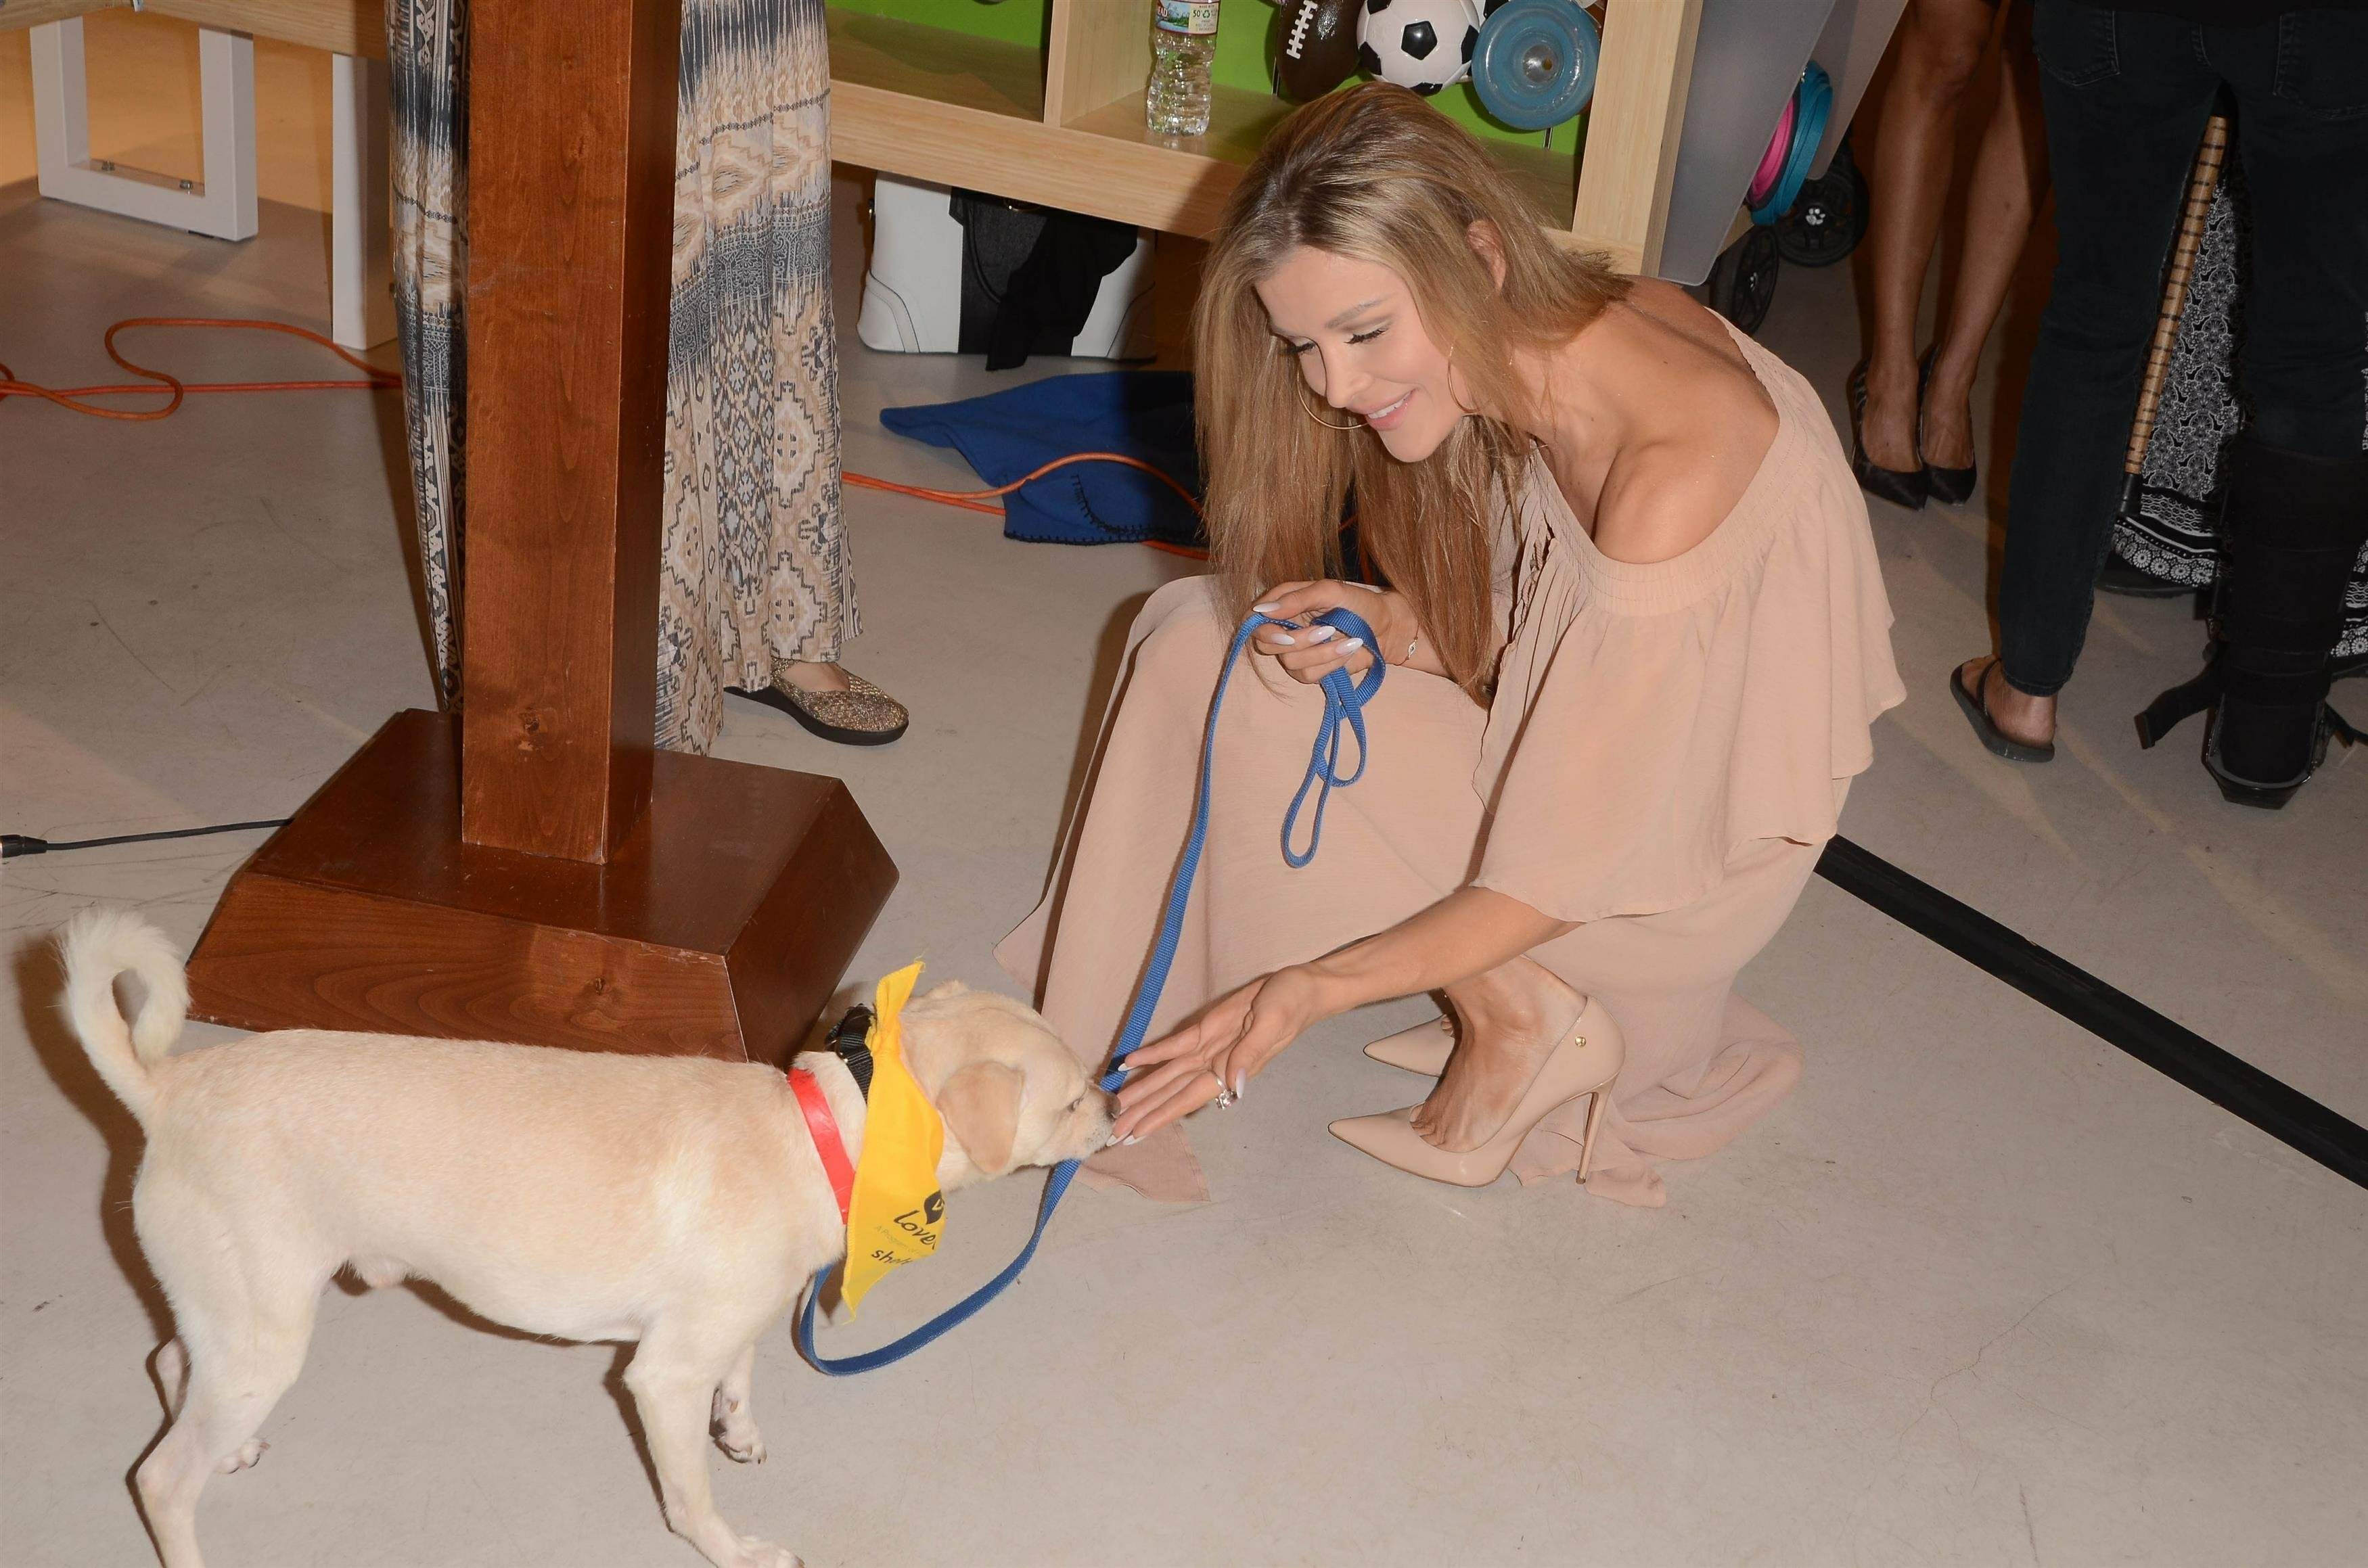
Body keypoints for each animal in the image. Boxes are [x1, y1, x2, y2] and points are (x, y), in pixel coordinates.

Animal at [59, 908, 1116, 1568]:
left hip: (233, 1321)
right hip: (263, 1336)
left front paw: (742, 1427)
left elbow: (743, 1373)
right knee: (161, 1478)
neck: (818, 1128)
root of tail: (167, 1087)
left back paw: (227, 1445)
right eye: (1071, 1099)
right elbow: (691, 1498)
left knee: (168, 1361)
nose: (1115, 1103)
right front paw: (733, 1547)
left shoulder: (725, 1328)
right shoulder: (664, 1376)